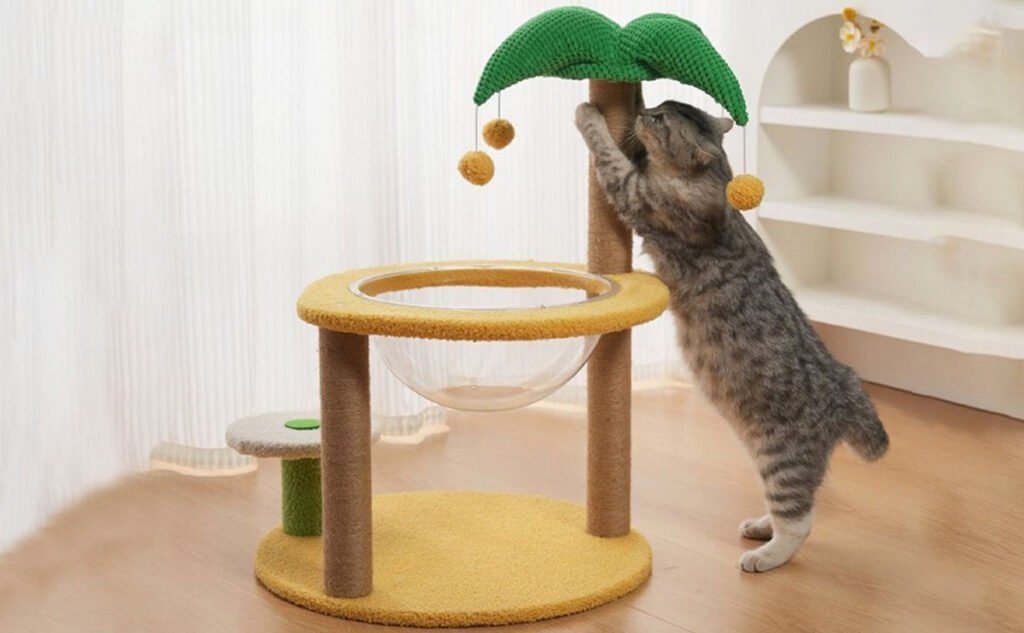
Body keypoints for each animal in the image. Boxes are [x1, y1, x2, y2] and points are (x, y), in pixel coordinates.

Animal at [575, 99, 889, 573]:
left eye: (662, 120)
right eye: (660, 105)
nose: (646, 112)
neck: (713, 180)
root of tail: (847, 386)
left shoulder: (637, 195)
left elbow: (610, 155)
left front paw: (590, 113)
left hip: (782, 459)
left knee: (799, 521)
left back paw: (765, 555)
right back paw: (761, 527)